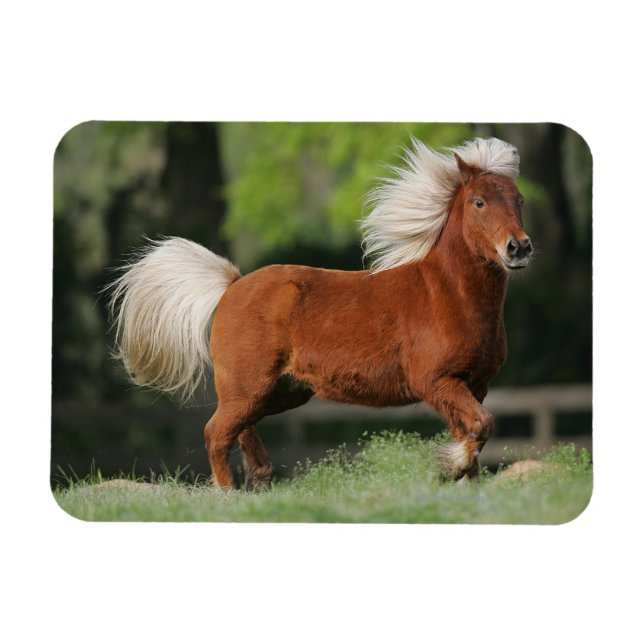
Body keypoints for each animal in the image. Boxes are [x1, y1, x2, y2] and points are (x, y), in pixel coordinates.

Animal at [107, 136, 533, 490]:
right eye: (479, 202)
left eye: (520, 200)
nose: (519, 248)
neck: (446, 295)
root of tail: (231, 285)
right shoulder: (437, 382)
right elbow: (481, 425)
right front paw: (449, 468)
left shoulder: (474, 384)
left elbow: (474, 432)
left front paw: (465, 485)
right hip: (249, 386)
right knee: (216, 432)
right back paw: (229, 494)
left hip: (281, 391)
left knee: (239, 428)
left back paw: (261, 478)